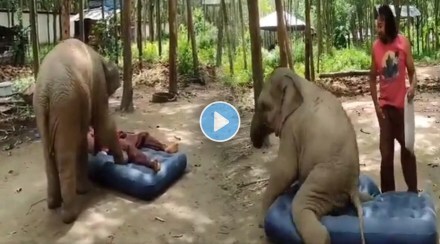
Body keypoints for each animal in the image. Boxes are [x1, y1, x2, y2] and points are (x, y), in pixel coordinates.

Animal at [33, 38, 124, 225]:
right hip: (67, 105)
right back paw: (70, 214)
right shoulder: (97, 83)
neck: (101, 56)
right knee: (65, 155)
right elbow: (103, 125)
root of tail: (47, 89)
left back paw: (53, 204)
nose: (98, 150)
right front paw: (123, 161)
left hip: (41, 107)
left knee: (48, 154)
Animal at [249, 67, 370, 244]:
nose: (257, 145)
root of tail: (352, 188)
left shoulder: (291, 127)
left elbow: (285, 170)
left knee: (302, 207)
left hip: (323, 181)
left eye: (263, 105)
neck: (299, 81)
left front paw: (260, 222)